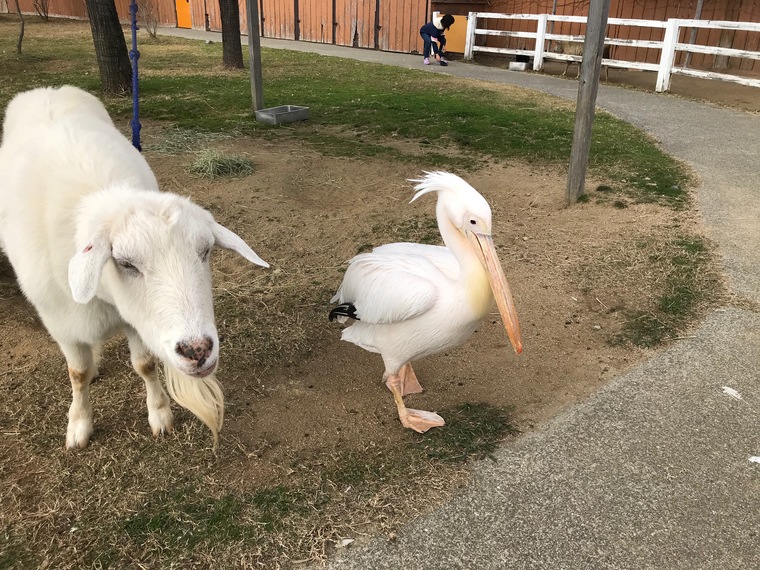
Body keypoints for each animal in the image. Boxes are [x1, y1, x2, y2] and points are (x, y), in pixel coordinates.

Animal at [0, 85, 270, 448]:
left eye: (206, 251)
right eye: (125, 263)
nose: (197, 350)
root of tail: (49, 89)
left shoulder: (136, 321)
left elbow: (144, 364)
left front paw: (160, 415)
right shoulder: (61, 323)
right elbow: (77, 374)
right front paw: (79, 424)